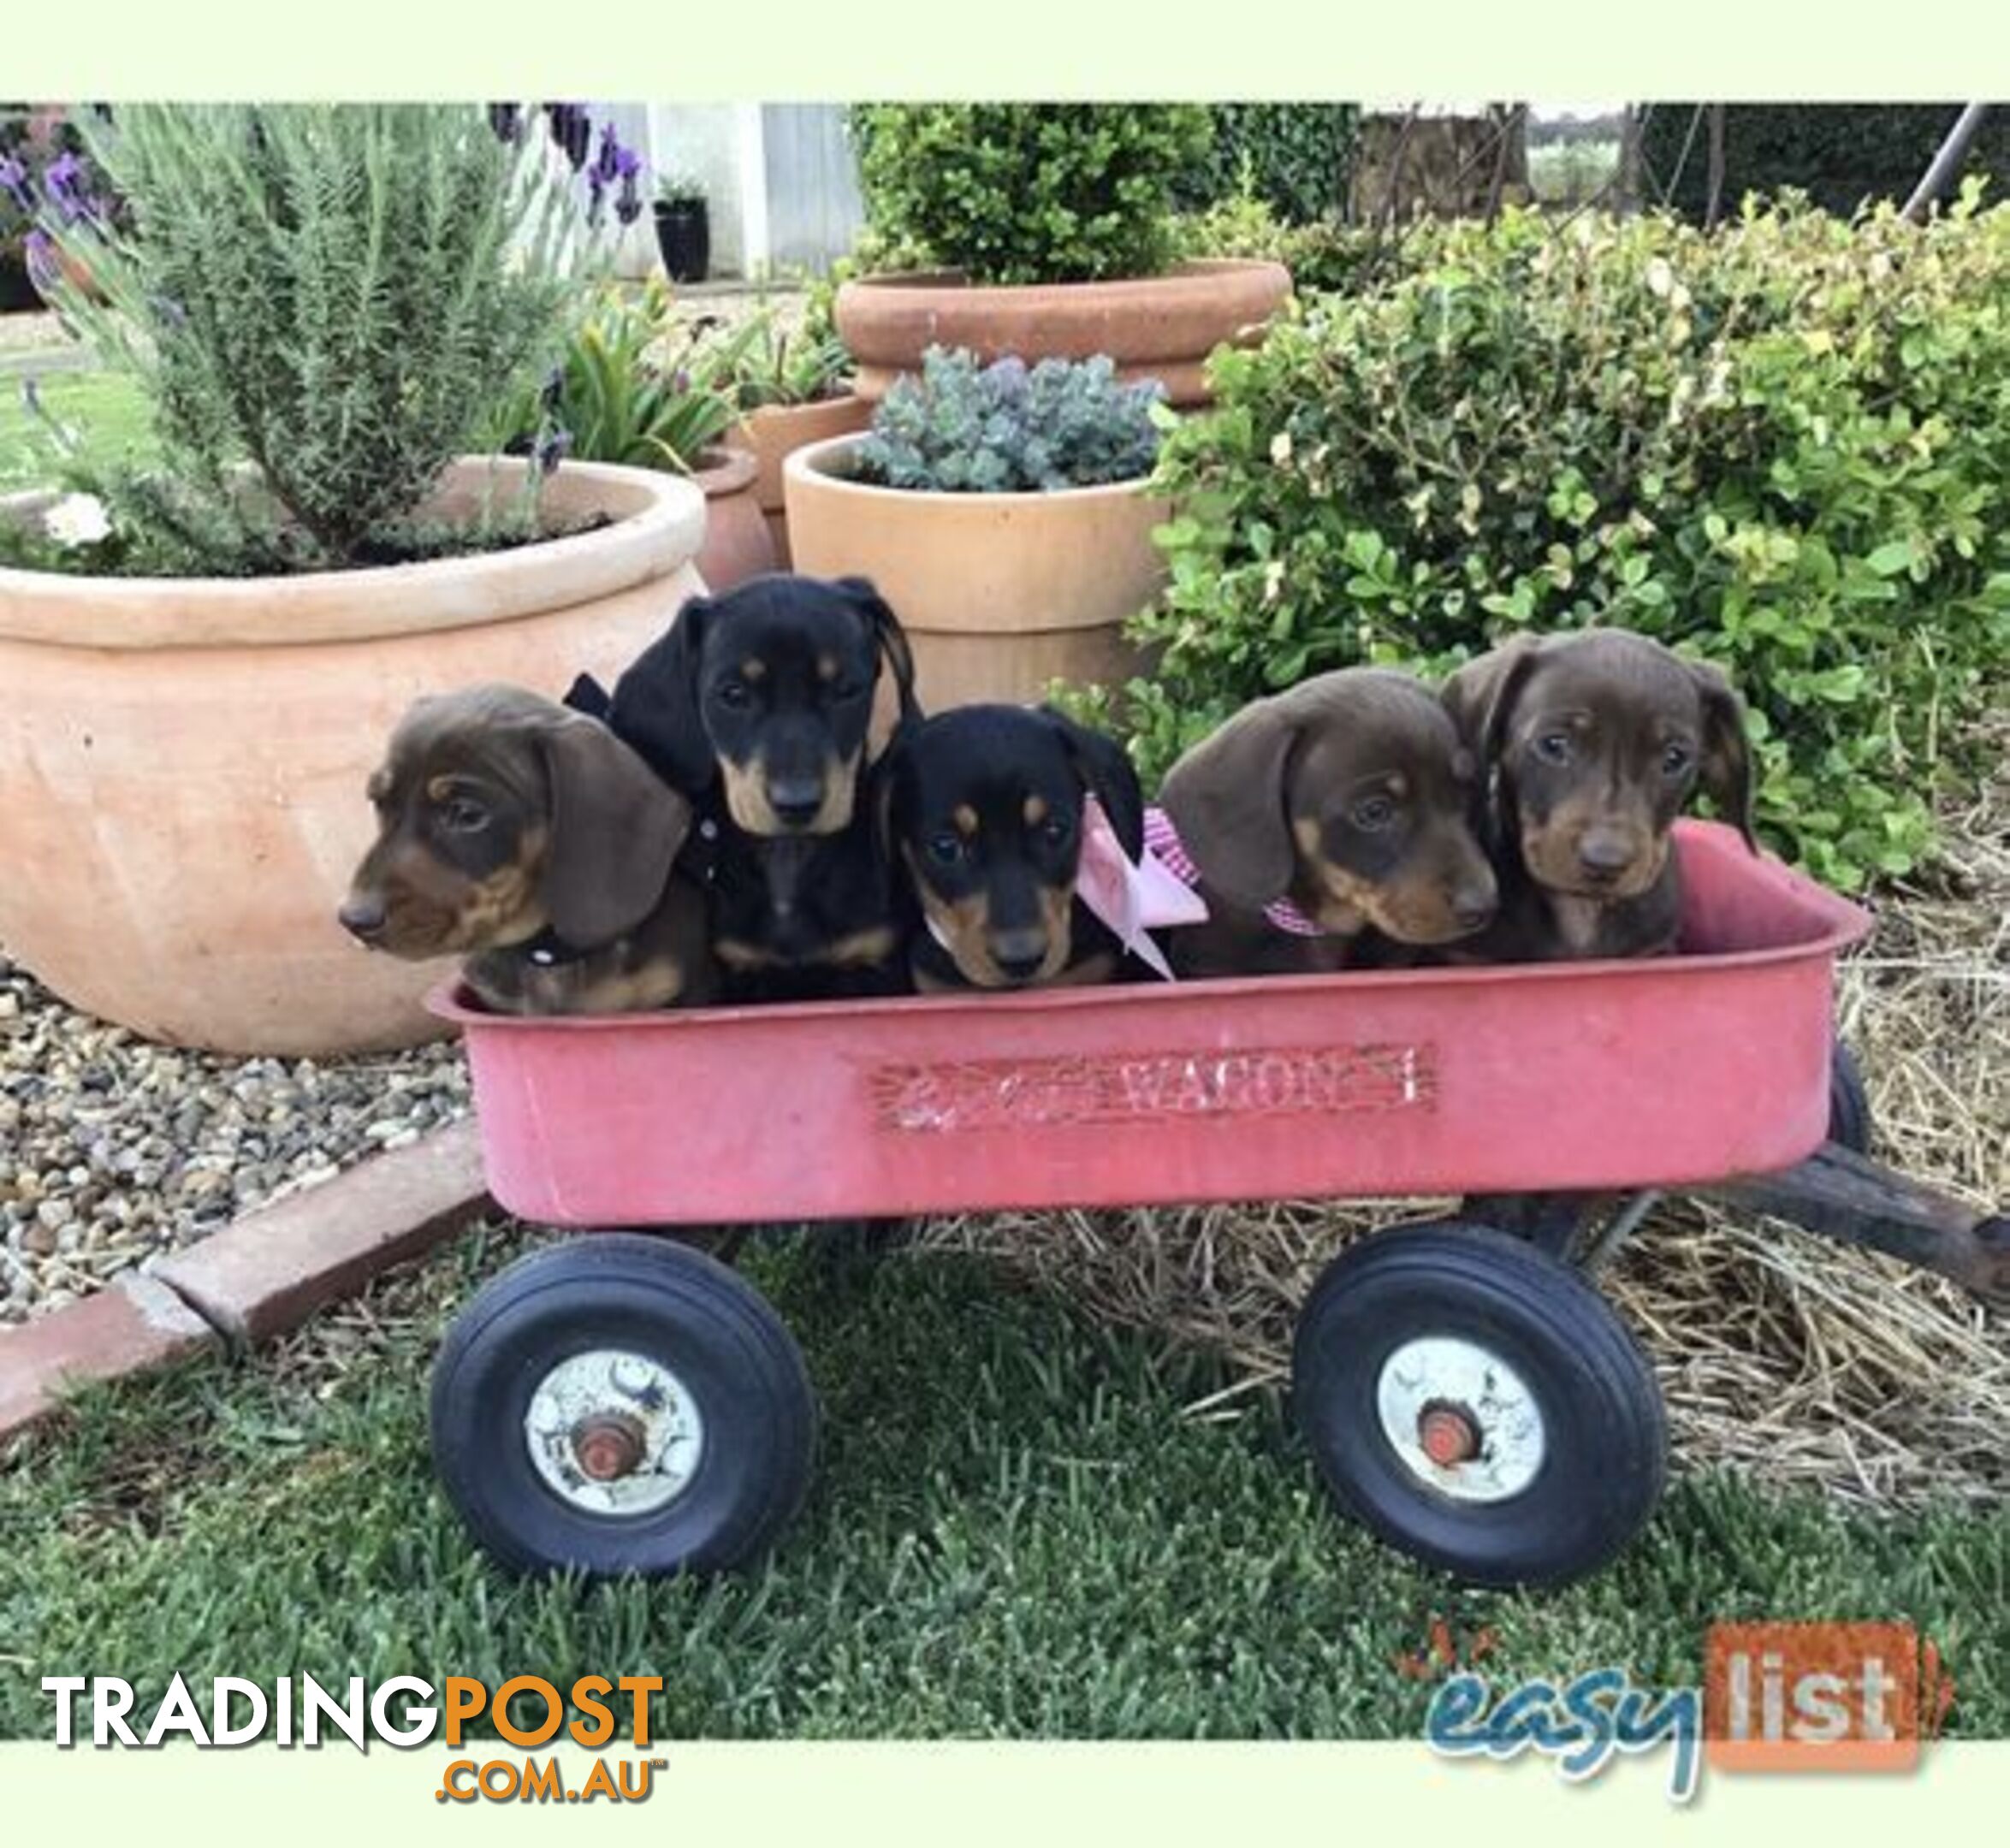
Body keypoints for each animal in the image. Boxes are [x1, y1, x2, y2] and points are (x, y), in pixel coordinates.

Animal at [574, 578, 924, 1012]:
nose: (797, 804)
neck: (789, 859)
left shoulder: (877, 963)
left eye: (846, 690)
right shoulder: (740, 970)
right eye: (733, 694)